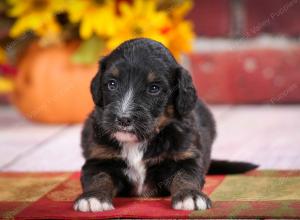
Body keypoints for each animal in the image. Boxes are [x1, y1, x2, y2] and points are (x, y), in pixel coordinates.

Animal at [74, 37, 217, 211]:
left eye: (154, 88)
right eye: (112, 84)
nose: (123, 119)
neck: (136, 142)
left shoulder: (185, 156)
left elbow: (185, 175)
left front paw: (190, 196)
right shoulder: (99, 158)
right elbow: (99, 177)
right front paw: (93, 198)